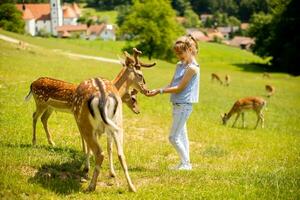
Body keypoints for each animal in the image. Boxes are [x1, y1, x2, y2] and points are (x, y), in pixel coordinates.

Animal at [73, 48, 156, 192]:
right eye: (140, 75)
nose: (147, 90)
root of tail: (103, 97)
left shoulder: (84, 126)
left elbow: (91, 147)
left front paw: (86, 169)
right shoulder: (108, 128)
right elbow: (109, 147)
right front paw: (112, 173)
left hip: (86, 124)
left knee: (100, 153)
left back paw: (91, 186)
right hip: (118, 123)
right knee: (121, 154)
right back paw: (132, 187)